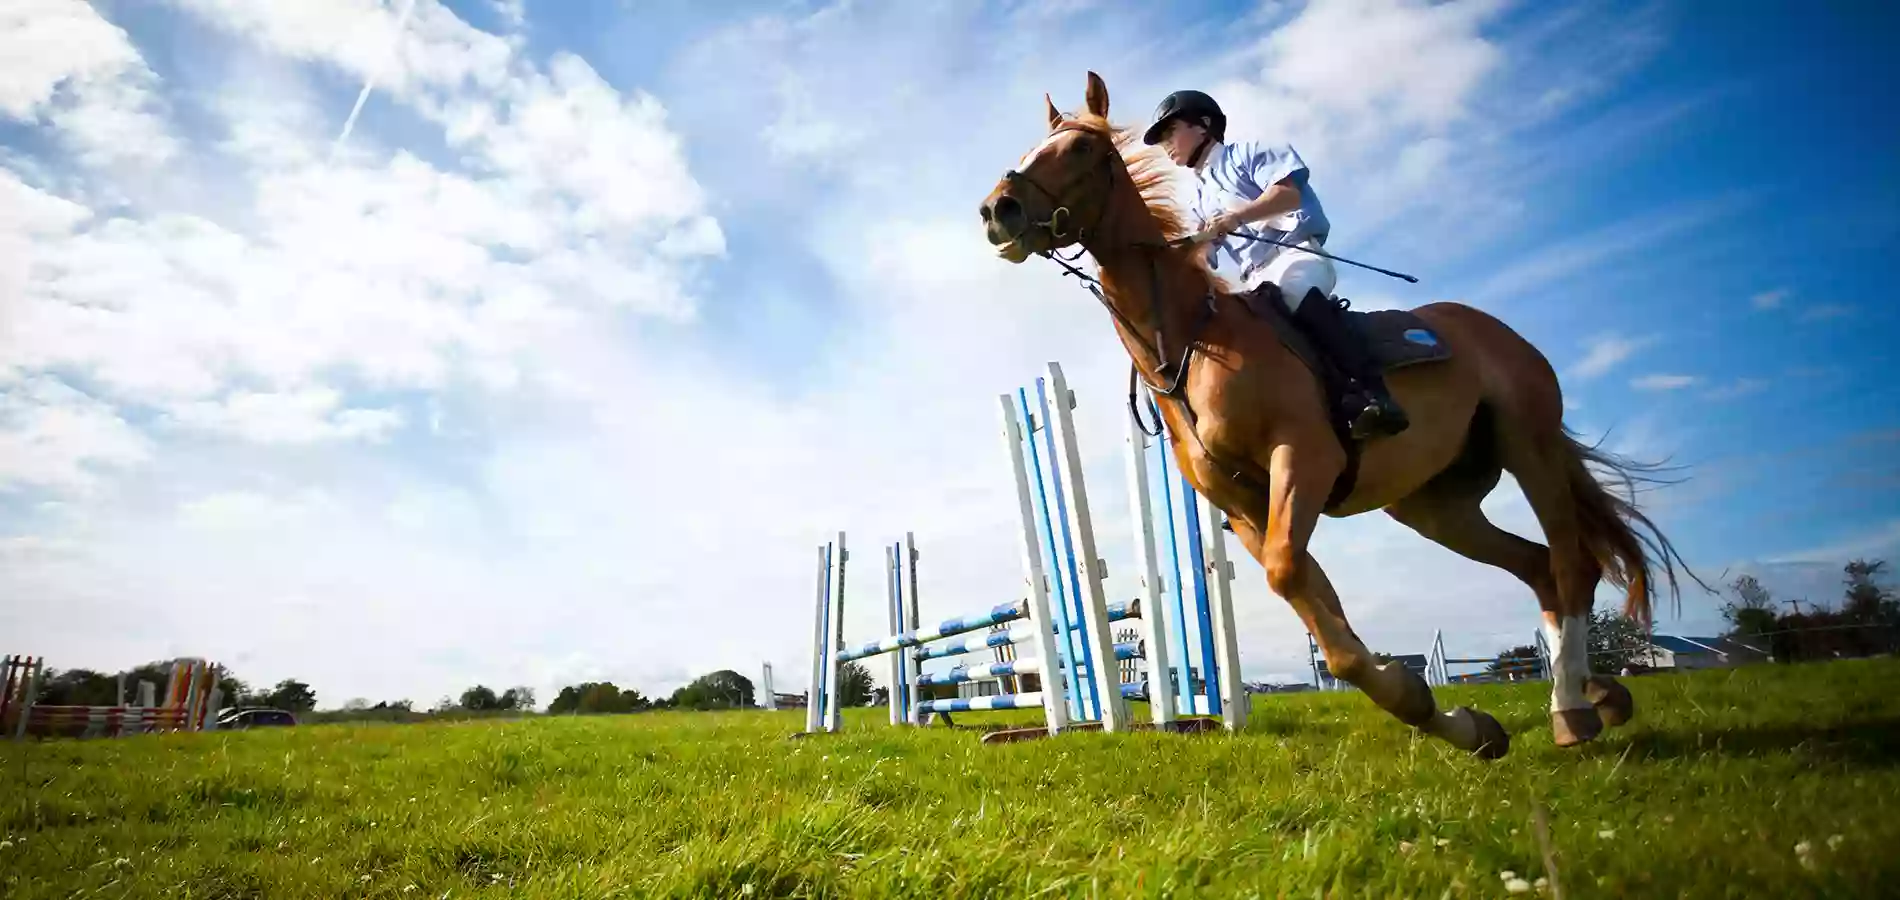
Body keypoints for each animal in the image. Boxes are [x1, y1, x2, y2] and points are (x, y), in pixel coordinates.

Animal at [972, 72, 1702, 759]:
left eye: (1081, 149)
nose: (995, 211)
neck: (1192, 343)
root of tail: (1495, 330)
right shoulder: (1247, 508)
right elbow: (1318, 610)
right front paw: (1457, 721)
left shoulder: (1305, 459)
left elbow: (1297, 585)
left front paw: (1433, 708)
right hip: (1435, 506)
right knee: (1538, 566)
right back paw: (1593, 693)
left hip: (1530, 448)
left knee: (1572, 565)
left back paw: (1572, 709)